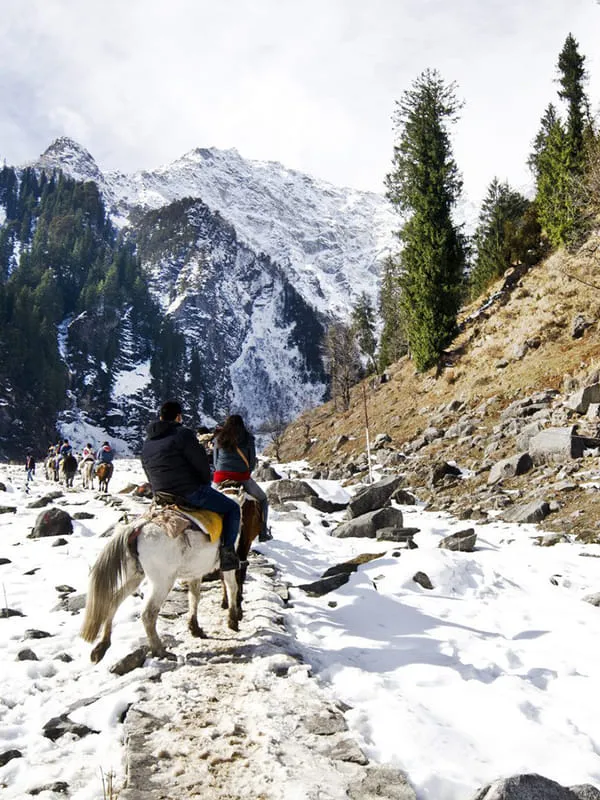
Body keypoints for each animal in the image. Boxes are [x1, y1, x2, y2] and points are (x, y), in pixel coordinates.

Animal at [80, 516, 240, 662]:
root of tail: (136, 528)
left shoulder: (196, 572)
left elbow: (194, 597)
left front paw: (195, 628)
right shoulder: (228, 565)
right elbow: (232, 587)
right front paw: (233, 620)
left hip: (136, 576)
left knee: (114, 601)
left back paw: (102, 646)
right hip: (162, 581)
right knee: (148, 614)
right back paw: (160, 651)